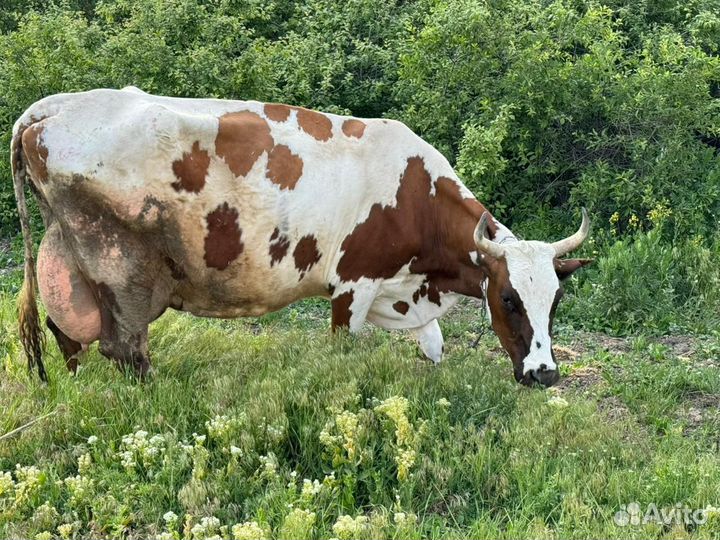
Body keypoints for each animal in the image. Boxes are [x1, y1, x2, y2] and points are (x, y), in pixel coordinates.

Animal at [11, 88, 591, 387]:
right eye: (509, 298)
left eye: (556, 300)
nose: (544, 373)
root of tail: (56, 105)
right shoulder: (353, 284)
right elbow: (341, 354)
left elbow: (434, 349)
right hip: (121, 272)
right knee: (123, 347)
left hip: (69, 259)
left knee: (66, 331)